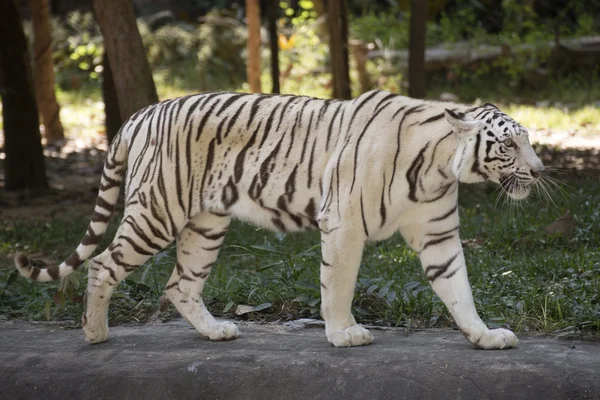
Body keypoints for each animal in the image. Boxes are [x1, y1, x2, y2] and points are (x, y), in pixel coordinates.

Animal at [15, 91, 544, 350]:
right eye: (509, 144)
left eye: (529, 141)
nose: (540, 170)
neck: (438, 166)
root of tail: (141, 113)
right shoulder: (344, 224)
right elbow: (339, 286)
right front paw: (343, 334)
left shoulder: (438, 234)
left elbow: (458, 289)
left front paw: (483, 336)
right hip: (156, 212)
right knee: (103, 263)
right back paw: (94, 333)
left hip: (206, 224)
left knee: (179, 284)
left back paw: (216, 331)